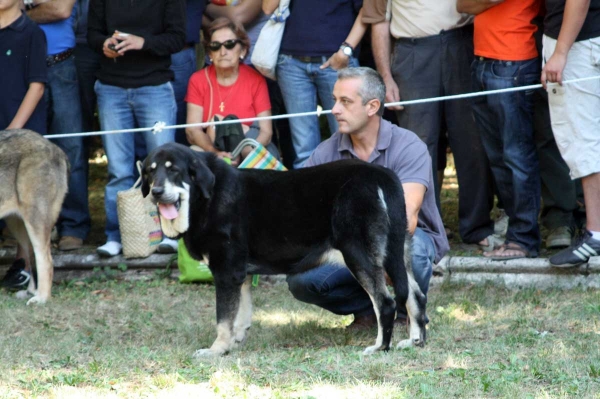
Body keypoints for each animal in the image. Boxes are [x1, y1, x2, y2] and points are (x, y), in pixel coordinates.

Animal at [141, 144, 426, 356]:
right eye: (150, 172)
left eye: (174, 171)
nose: (156, 191)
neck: (205, 197)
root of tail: (382, 176)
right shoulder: (240, 274)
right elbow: (240, 315)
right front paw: (234, 343)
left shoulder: (225, 270)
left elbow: (223, 319)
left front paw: (216, 350)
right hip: (399, 251)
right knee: (415, 296)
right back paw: (415, 341)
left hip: (359, 254)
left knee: (385, 302)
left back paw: (380, 347)